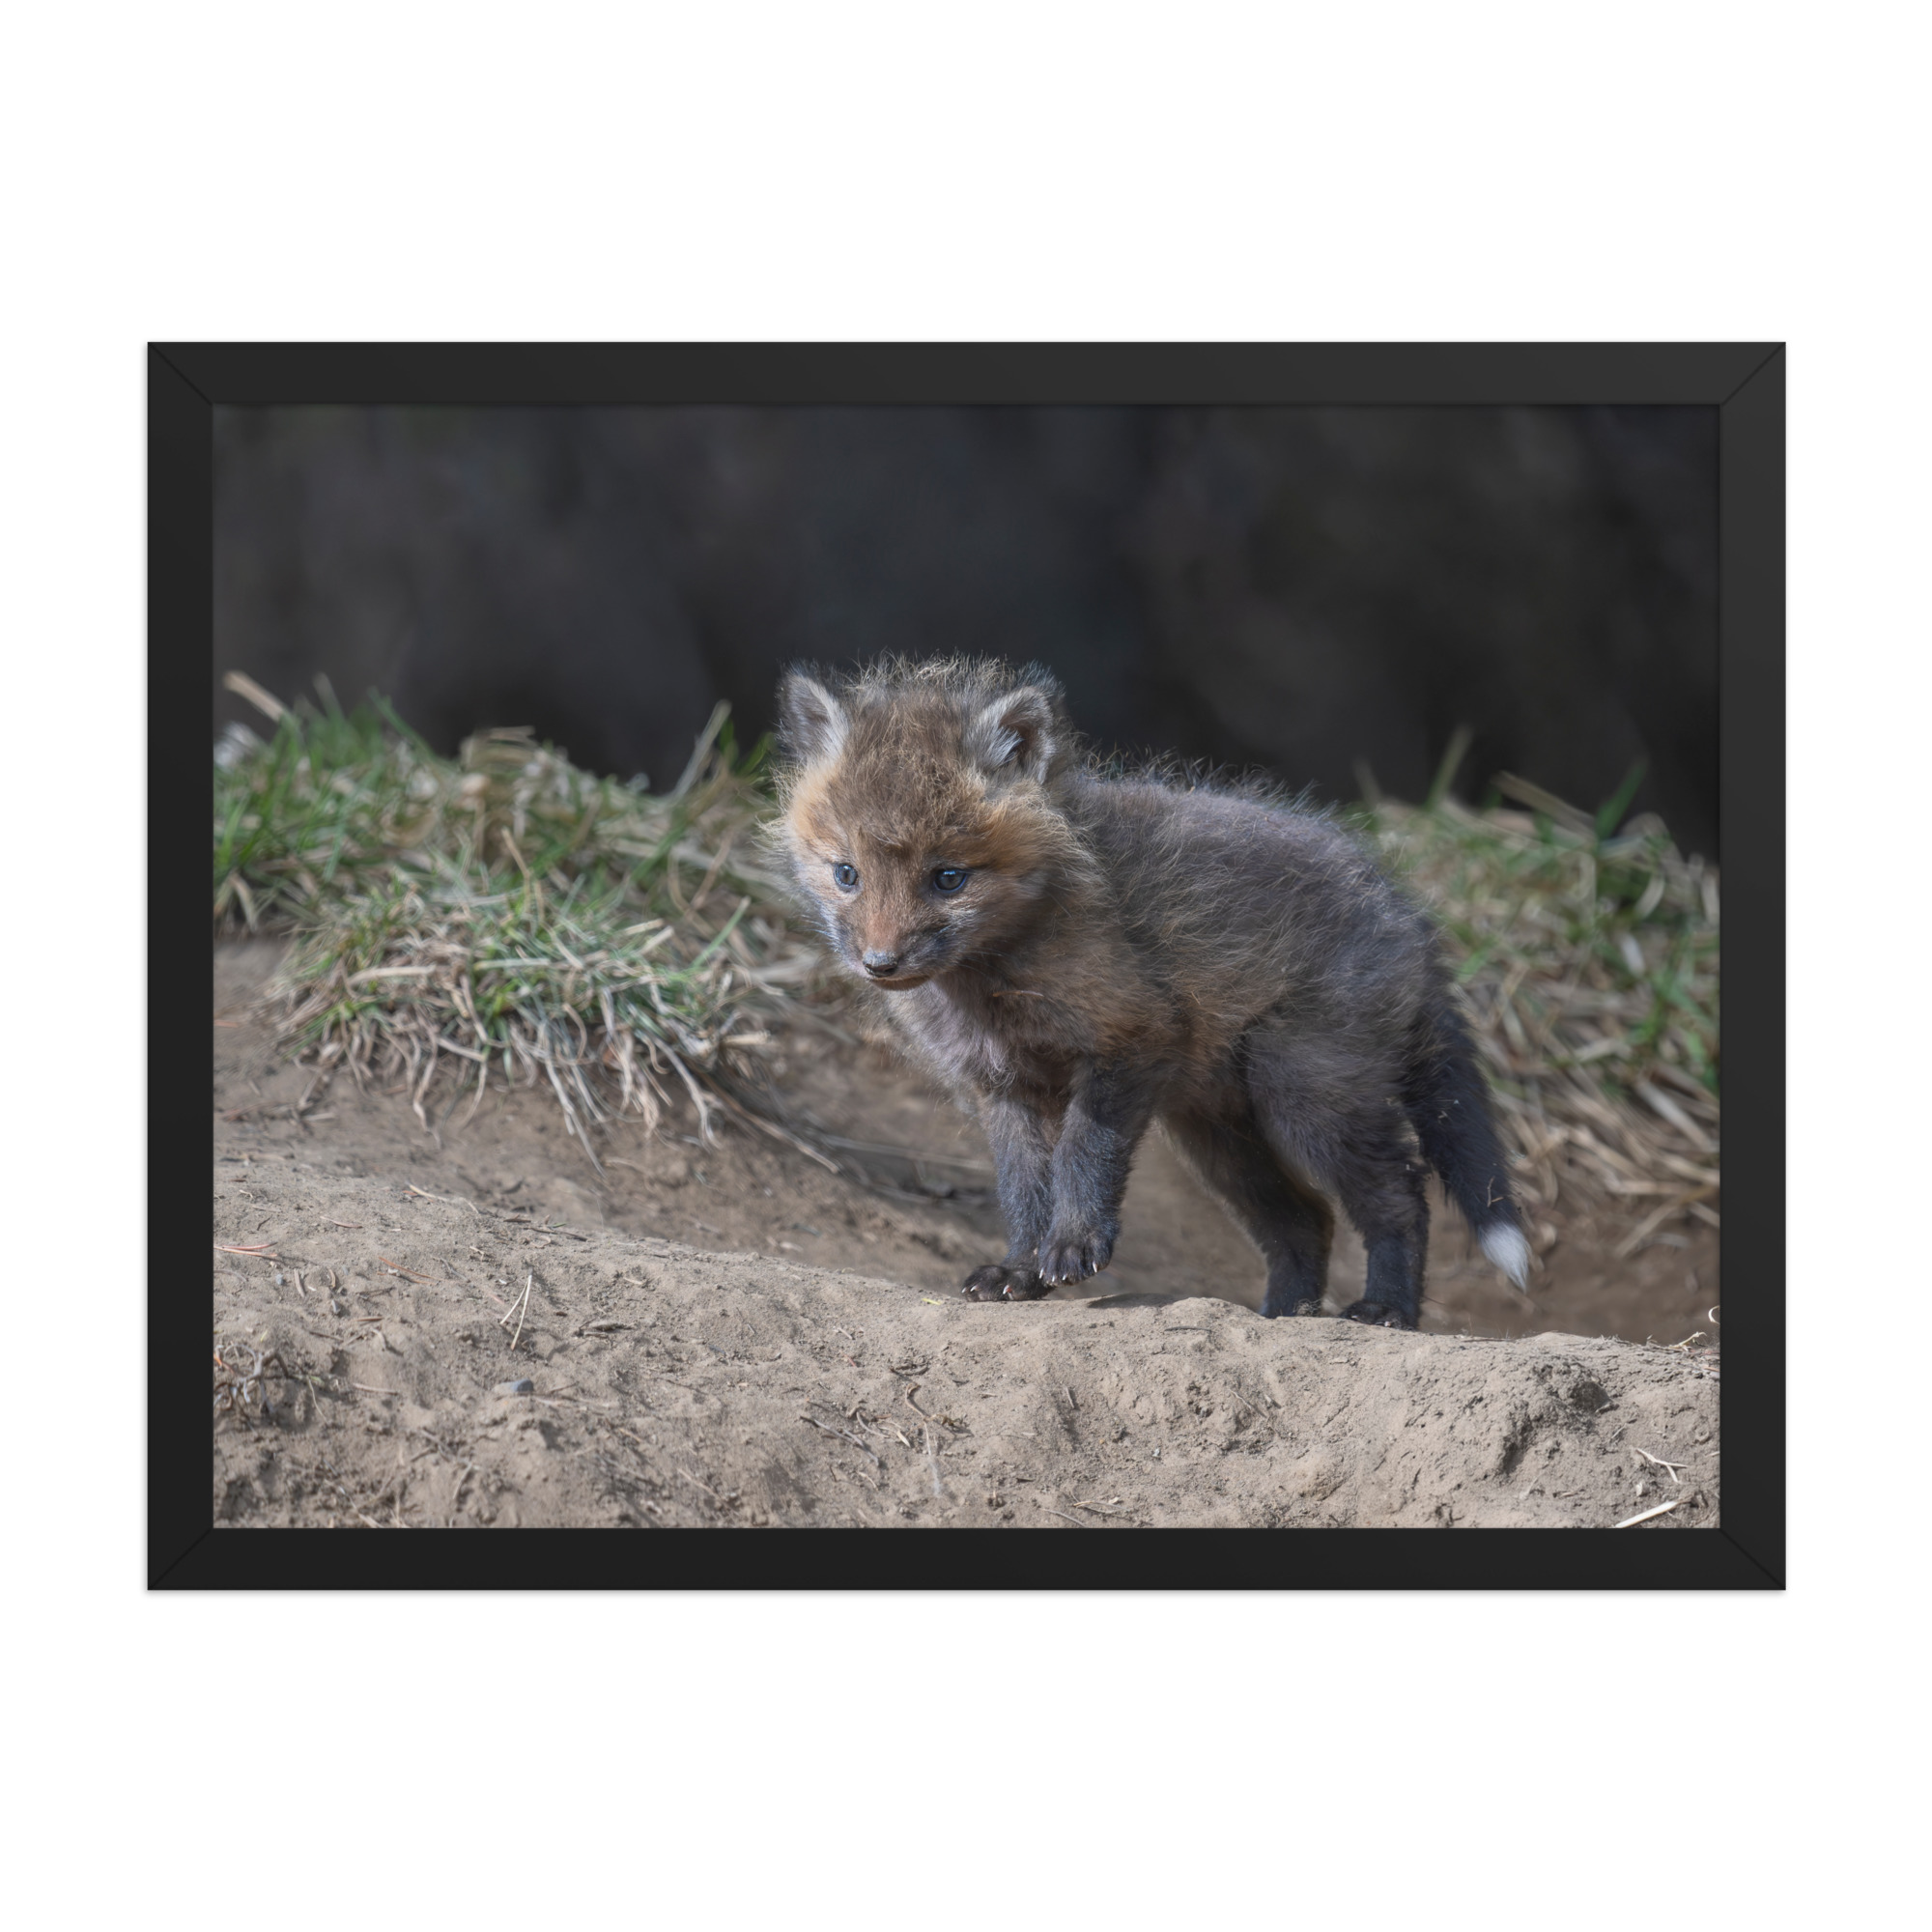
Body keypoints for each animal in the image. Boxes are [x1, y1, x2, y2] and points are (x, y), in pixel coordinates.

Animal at [773, 657, 1530, 1328]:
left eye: (948, 878)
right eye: (846, 874)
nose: (880, 963)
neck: (993, 985)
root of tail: (1407, 914)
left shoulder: (1132, 1038)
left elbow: (1083, 1155)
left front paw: (1074, 1246)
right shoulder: (1003, 1086)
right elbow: (1022, 1189)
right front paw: (1020, 1269)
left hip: (1306, 1095)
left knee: (1400, 1195)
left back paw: (1386, 1310)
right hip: (1219, 1134)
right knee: (1305, 1220)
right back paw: (1283, 1316)